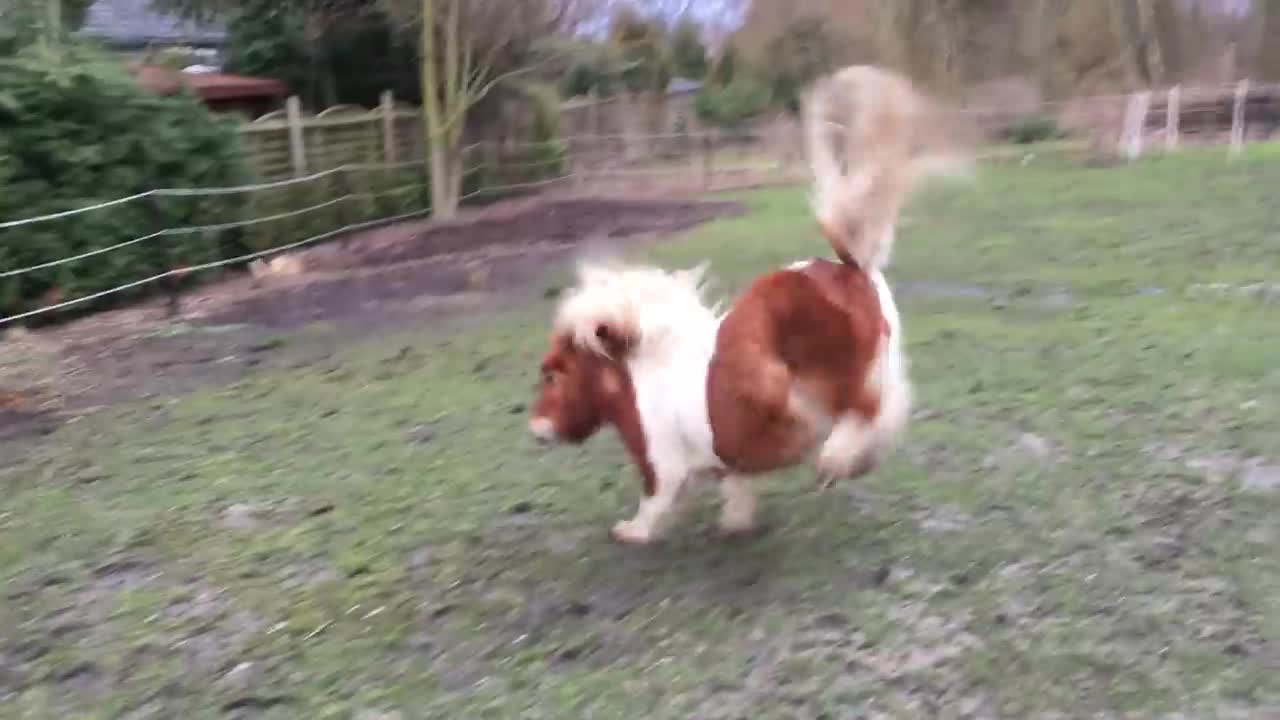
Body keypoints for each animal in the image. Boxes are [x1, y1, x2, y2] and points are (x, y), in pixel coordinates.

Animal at [524, 67, 962, 540]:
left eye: (551, 375)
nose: (535, 429)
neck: (643, 374)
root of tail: (848, 268)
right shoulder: (729, 462)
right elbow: (737, 485)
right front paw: (736, 525)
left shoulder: (662, 467)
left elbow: (655, 503)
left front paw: (631, 532)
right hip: (883, 368)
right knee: (885, 418)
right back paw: (846, 461)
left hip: (841, 378)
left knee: (861, 413)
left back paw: (832, 459)